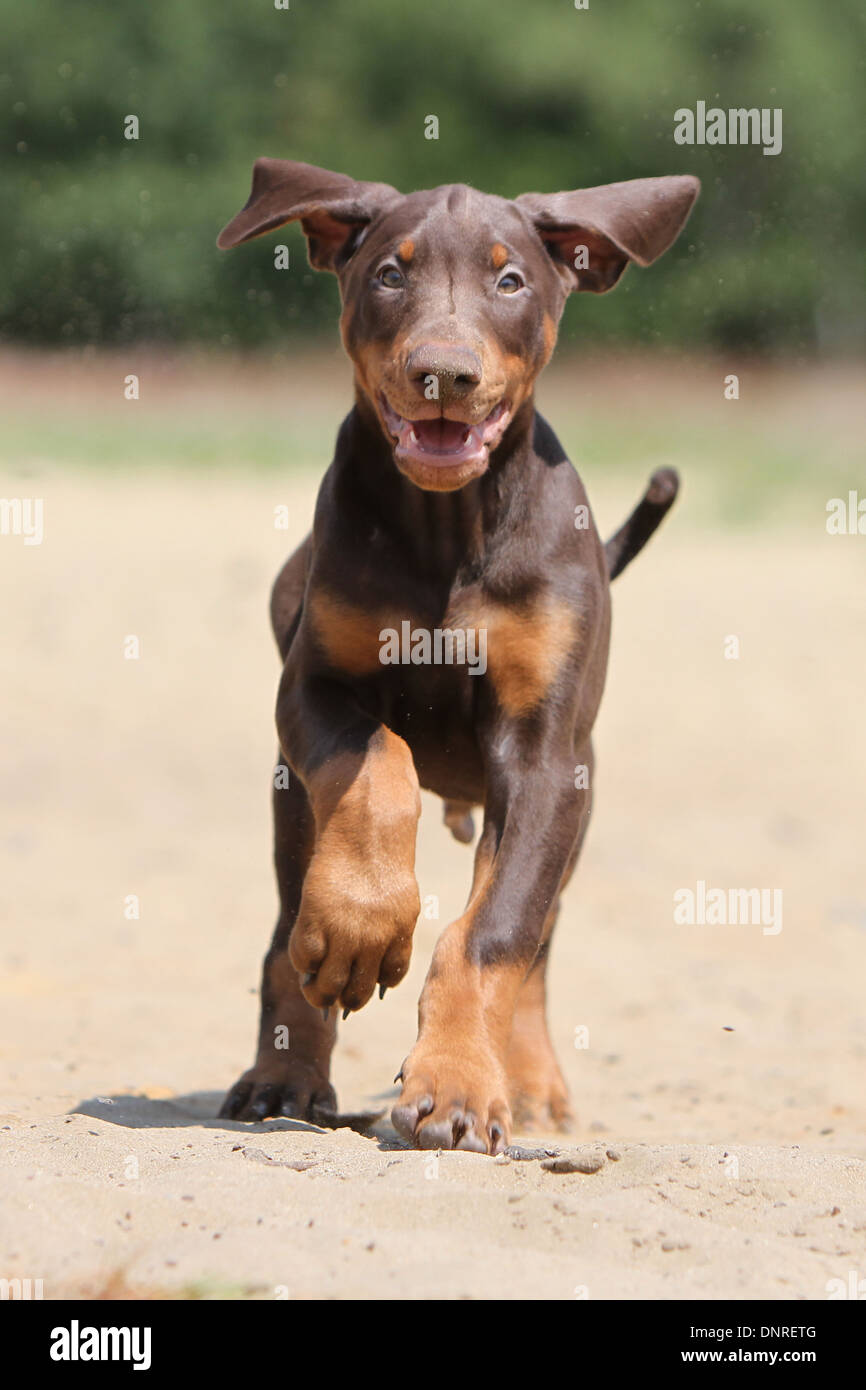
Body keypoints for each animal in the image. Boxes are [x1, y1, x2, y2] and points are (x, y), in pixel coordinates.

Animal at [215, 157, 697, 1150]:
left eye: (509, 281)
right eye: (388, 275)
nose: (444, 373)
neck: (447, 528)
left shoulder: (543, 758)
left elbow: (497, 931)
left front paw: (461, 1085)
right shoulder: (312, 689)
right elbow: (376, 768)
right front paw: (361, 925)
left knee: (535, 940)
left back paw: (533, 1082)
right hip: (289, 797)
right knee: (285, 929)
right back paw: (285, 1076)